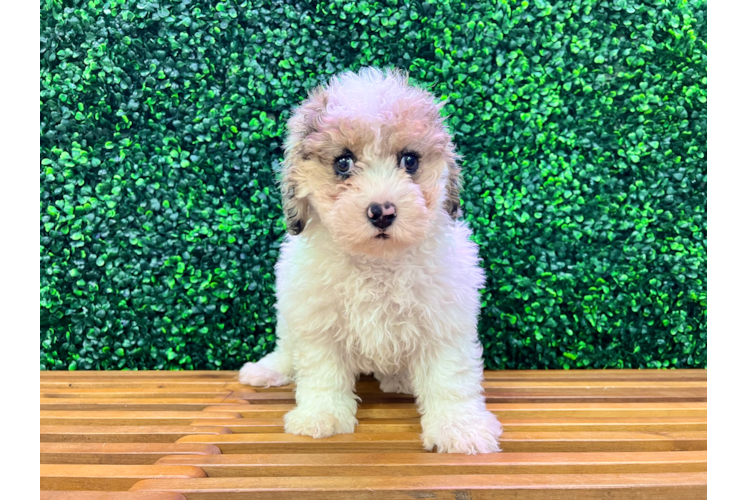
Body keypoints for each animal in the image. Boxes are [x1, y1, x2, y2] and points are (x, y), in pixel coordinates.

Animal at [240, 66, 502, 454]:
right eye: (343, 163)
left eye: (410, 160)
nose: (382, 212)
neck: (377, 262)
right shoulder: (316, 319)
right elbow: (321, 372)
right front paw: (322, 415)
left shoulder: (443, 321)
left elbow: (449, 379)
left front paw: (460, 428)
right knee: (288, 348)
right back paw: (269, 368)